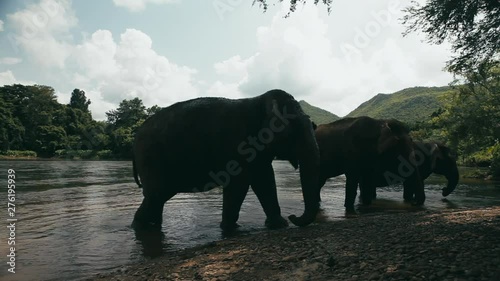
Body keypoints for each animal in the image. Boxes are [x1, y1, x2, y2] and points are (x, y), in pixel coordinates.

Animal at [131, 89, 320, 230]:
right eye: (294, 132)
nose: (293, 215)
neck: (260, 101)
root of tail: (135, 136)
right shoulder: (237, 143)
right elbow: (239, 183)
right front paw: (230, 228)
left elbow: (264, 180)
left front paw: (279, 225)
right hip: (151, 157)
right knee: (156, 195)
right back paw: (139, 227)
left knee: (157, 198)